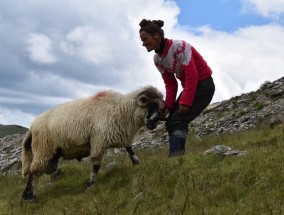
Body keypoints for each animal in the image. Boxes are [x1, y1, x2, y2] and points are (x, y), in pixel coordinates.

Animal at [21, 85, 165, 202]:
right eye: (151, 104)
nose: (153, 124)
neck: (122, 110)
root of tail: (32, 127)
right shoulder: (98, 141)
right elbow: (96, 165)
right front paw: (90, 184)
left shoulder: (119, 134)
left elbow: (130, 149)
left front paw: (136, 163)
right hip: (43, 149)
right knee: (34, 171)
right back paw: (32, 197)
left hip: (50, 155)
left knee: (34, 171)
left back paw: (26, 196)